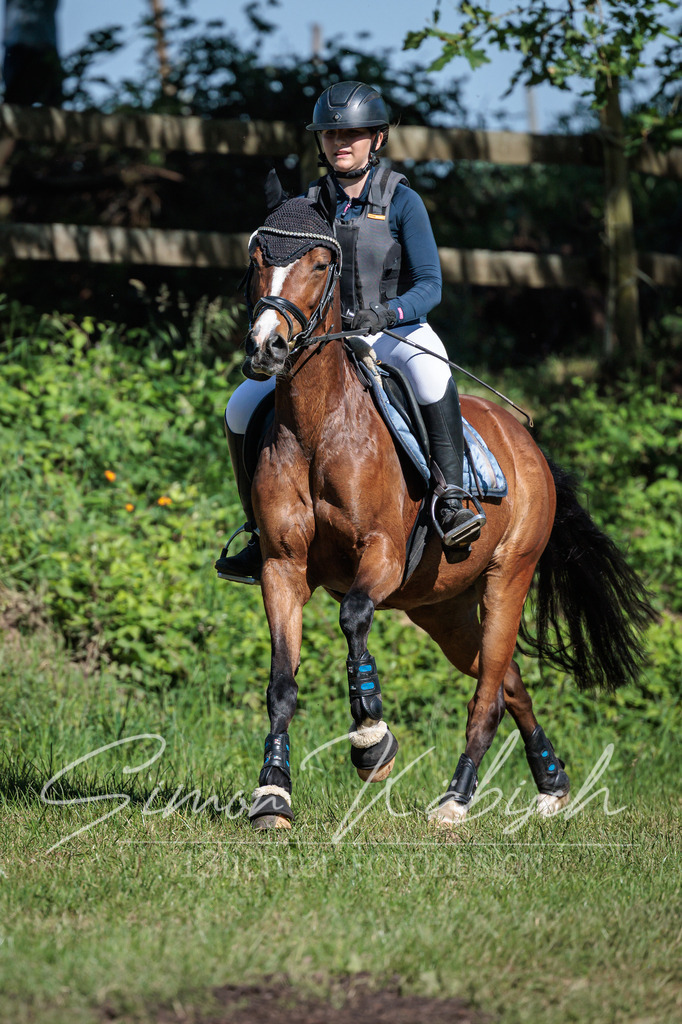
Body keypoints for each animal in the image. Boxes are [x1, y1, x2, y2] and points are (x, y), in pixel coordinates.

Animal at [239, 186, 656, 830]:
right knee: (508, 681)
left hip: (508, 578)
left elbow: (354, 617)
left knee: (488, 694)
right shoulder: (281, 566)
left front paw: (372, 740)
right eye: (259, 257)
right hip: (443, 609)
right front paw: (273, 792)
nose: (266, 346)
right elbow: (281, 683)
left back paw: (457, 800)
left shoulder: (382, 557)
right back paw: (552, 784)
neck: (319, 428)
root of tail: (526, 439)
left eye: (320, 263)